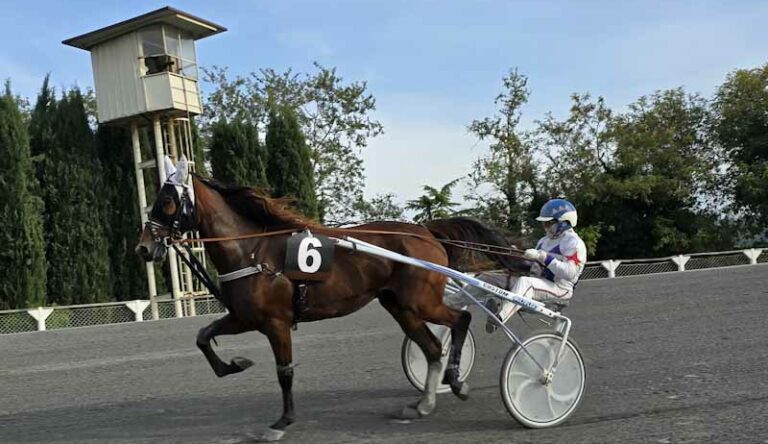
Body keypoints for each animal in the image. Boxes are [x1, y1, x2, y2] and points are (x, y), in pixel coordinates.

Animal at [136, 156, 528, 440]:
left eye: (167, 201)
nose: (143, 248)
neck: (253, 252)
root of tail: (427, 231)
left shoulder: (275, 322)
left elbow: (284, 371)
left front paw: (282, 421)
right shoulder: (245, 317)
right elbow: (202, 336)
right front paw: (235, 364)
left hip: (421, 301)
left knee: (461, 320)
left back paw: (457, 381)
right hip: (399, 305)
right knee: (432, 347)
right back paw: (423, 404)